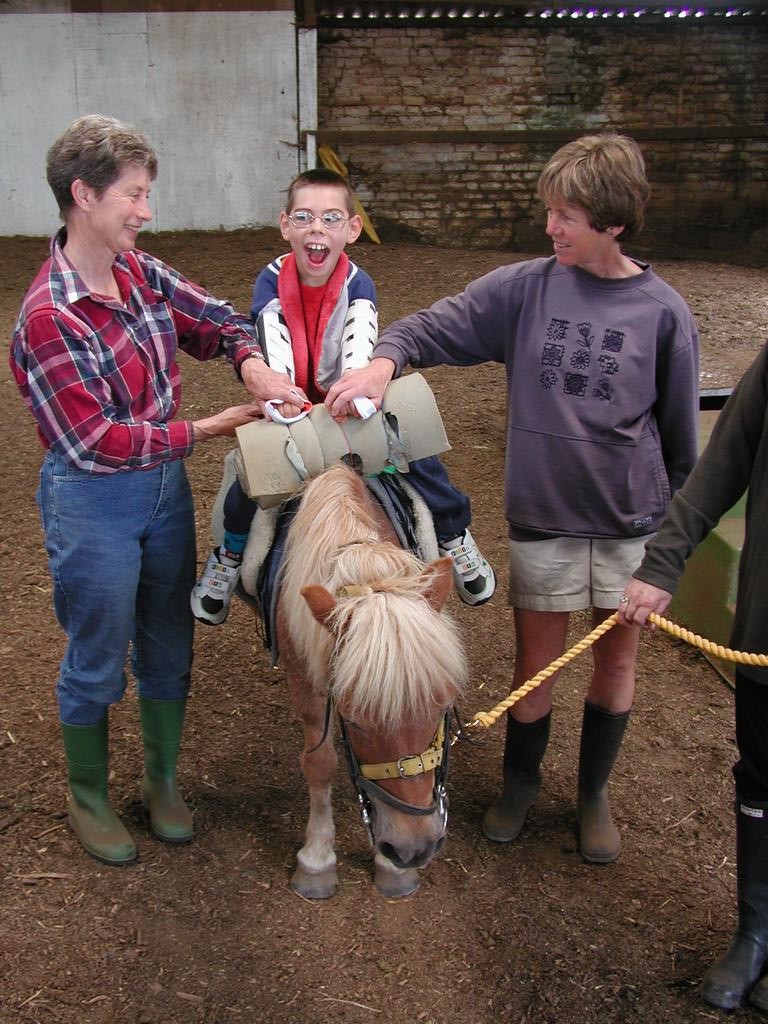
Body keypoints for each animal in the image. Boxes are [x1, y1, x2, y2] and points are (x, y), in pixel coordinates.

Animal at [276, 460, 468, 901]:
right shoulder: (304, 677)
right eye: (354, 720)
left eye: (442, 709)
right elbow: (319, 763)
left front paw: (390, 868)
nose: (414, 848)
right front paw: (317, 859)